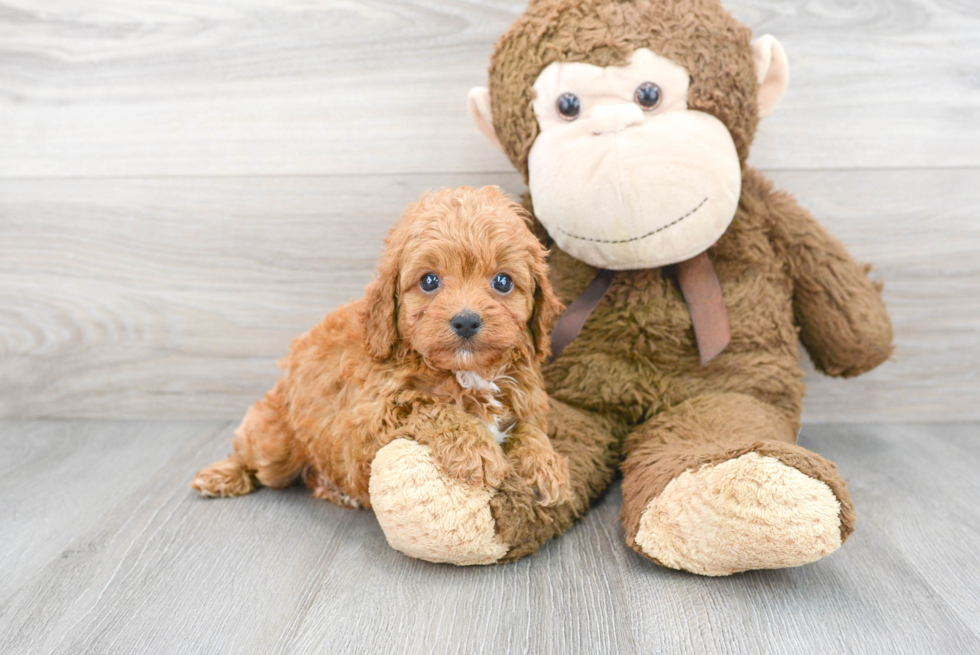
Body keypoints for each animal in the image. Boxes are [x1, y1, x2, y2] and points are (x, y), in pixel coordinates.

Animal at [192, 187, 572, 510]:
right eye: (429, 281)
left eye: (503, 282)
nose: (465, 321)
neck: (468, 372)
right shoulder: (366, 427)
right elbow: (427, 406)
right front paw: (476, 447)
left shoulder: (525, 398)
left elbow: (530, 428)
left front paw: (544, 465)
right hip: (276, 445)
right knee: (253, 455)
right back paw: (223, 474)